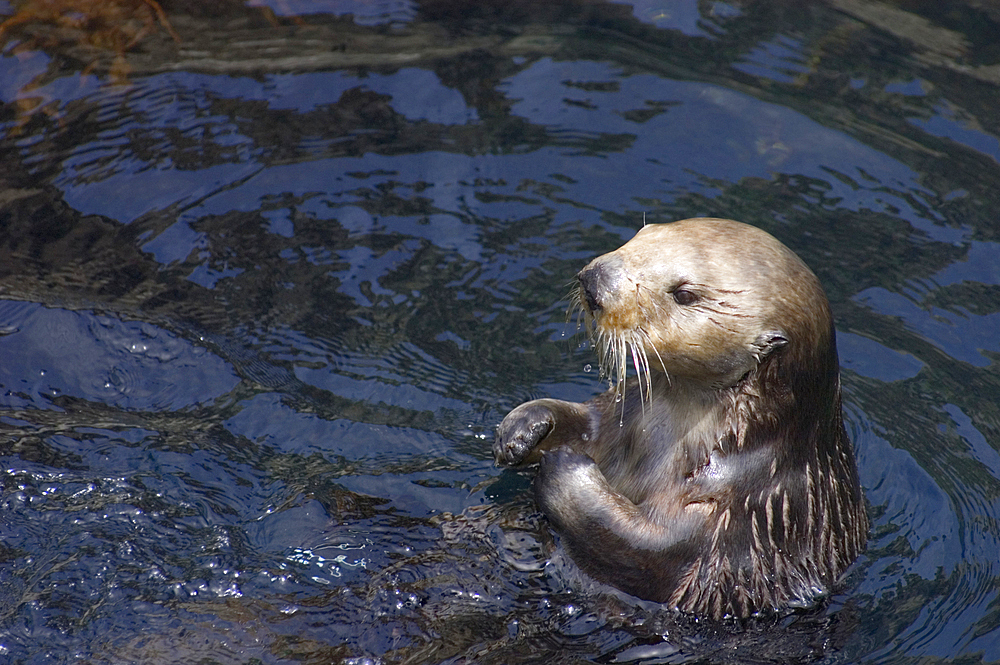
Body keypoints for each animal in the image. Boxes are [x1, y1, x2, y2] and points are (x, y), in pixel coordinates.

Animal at [492, 217, 868, 616]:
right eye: (645, 233)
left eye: (684, 294)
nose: (593, 282)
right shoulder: (620, 417)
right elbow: (588, 424)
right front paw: (522, 428)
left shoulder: (736, 511)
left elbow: (639, 547)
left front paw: (565, 469)